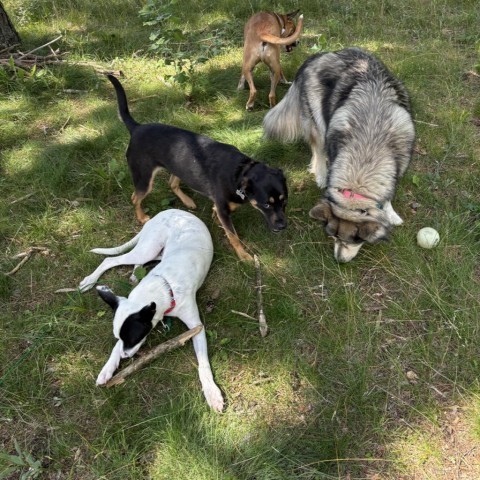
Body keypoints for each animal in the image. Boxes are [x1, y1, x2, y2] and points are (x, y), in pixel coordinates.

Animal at [107, 75, 286, 262]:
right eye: (266, 205)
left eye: (284, 201)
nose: (283, 226)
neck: (241, 171)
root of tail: (136, 127)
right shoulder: (225, 209)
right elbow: (233, 236)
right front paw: (243, 256)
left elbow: (219, 215)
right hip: (144, 179)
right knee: (135, 197)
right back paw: (142, 217)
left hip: (179, 166)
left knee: (172, 183)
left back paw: (187, 201)